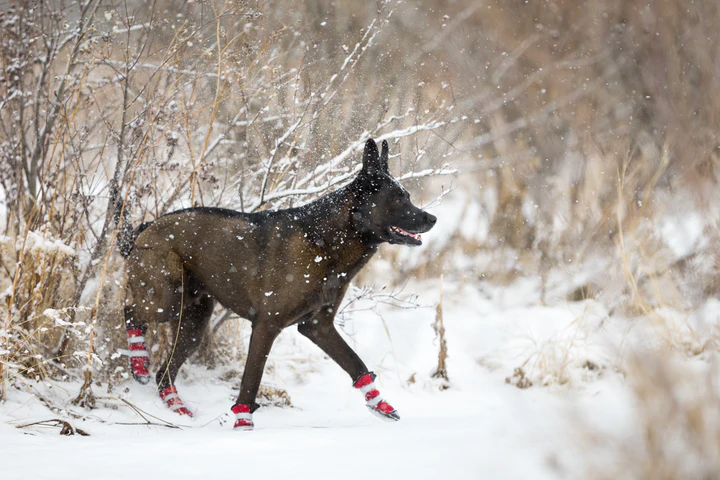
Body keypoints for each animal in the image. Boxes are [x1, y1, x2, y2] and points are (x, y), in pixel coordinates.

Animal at [121, 140, 436, 432]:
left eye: (408, 196)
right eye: (399, 199)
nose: (432, 218)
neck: (327, 241)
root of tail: (145, 227)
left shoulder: (318, 326)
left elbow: (355, 363)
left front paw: (379, 403)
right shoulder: (266, 326)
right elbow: (251, 380)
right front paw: (243, 424)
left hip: (194, 322)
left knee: (164, 374)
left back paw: (177, 408)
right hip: (168, 300)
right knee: (130, 313)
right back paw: (139, 364)